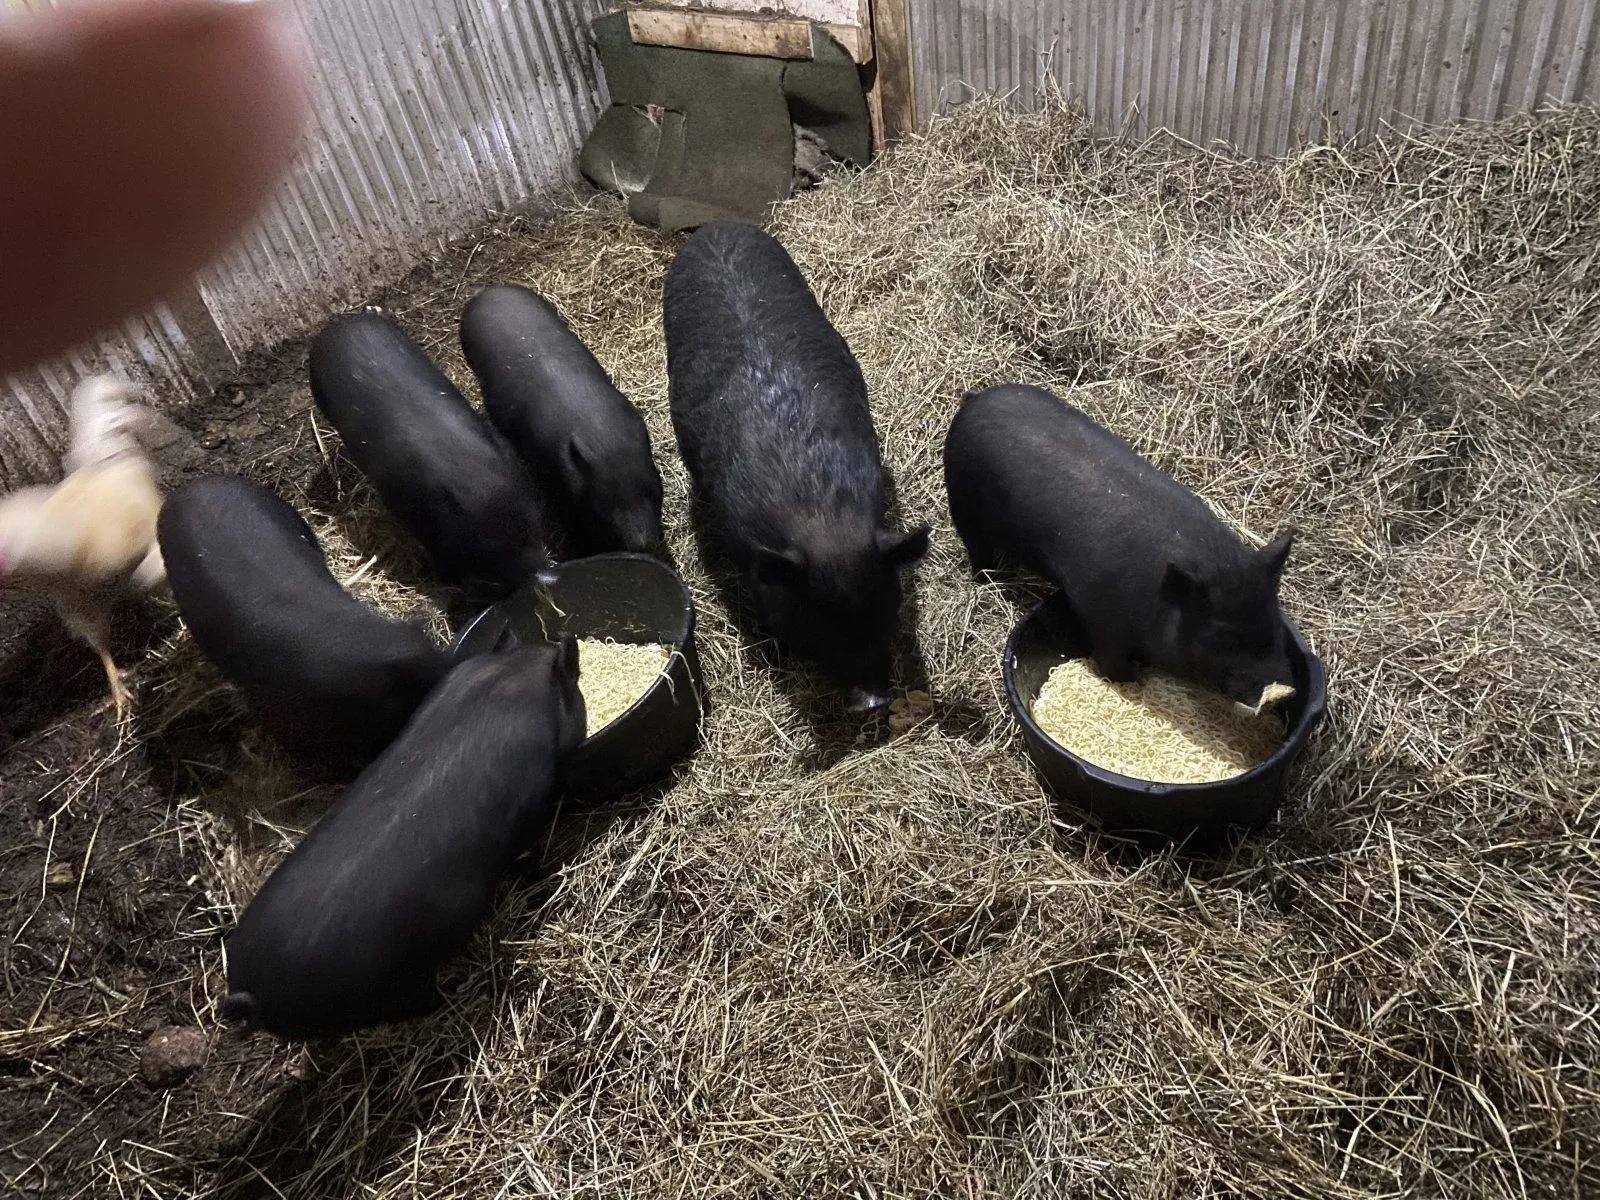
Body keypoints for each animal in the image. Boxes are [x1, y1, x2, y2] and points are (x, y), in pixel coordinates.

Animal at [220, 639, 586, 1040]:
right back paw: (458, 988)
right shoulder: (530, 808)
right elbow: (529, 854)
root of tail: (250, 990)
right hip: (391, 986)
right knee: (420, 1002)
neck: (508, 680)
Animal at [942, 383, 1296, 706]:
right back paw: (992, 580)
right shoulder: (1099, 612)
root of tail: (975, 397)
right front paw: (1132, 683)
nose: (1281, 691)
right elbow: (1111, 660)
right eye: (1222, 635)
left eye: (1273, 618)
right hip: (963, 503)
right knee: (978, 550)